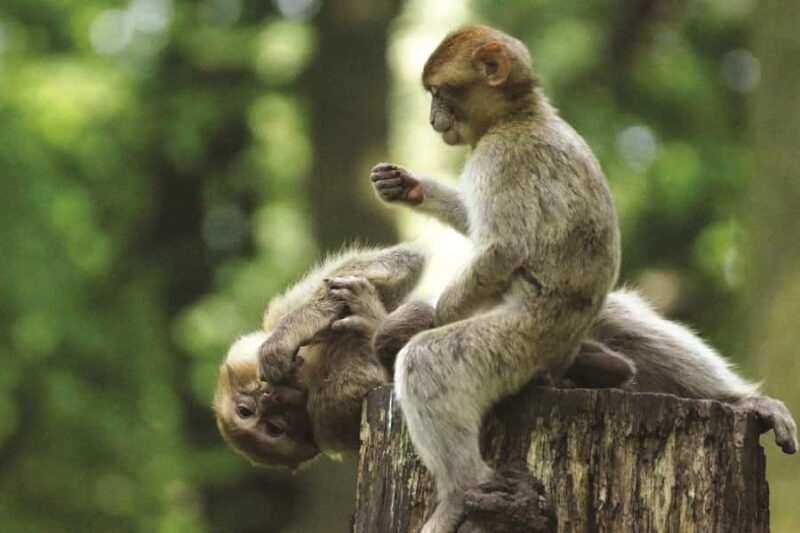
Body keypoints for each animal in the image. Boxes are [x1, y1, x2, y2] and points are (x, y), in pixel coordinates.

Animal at [372, 25, 623, 532]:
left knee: (430, 362)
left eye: (439, 93)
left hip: (526, 338)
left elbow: (501, 250)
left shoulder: (502, 155)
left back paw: (460, 493)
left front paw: (436, 316)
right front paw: (410, 188)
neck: (521, 114)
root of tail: (562, 353)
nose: (432, 119)